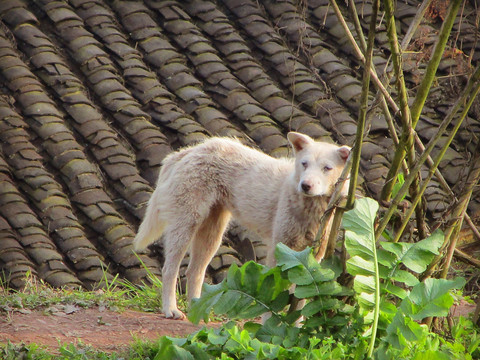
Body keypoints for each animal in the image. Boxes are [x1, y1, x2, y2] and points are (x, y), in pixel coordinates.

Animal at [133, 132, 350, 318]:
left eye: (327, 168)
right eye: (304, 164)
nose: (305, 185)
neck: (309, 208)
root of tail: (189, 151)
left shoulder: (312, 257)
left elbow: (301, 299)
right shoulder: (279, 249)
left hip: (212, 235)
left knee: (194, 272)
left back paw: (198, 312)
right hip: (186, 225)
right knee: (170, 270)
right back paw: (170, 310)